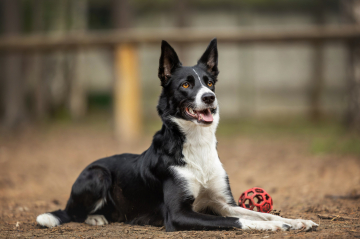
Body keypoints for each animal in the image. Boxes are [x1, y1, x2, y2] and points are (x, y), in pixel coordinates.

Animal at [36, 38, 318, 232]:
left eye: (210, 82)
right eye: (185, 84)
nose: (210, 97)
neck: (196, 144)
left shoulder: (221, 201)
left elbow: (258, 213)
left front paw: (295, 221)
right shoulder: (178, 214)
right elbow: (235, 219)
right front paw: (271, 227)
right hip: (98, 174)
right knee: (73, 212)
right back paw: (95, 217)